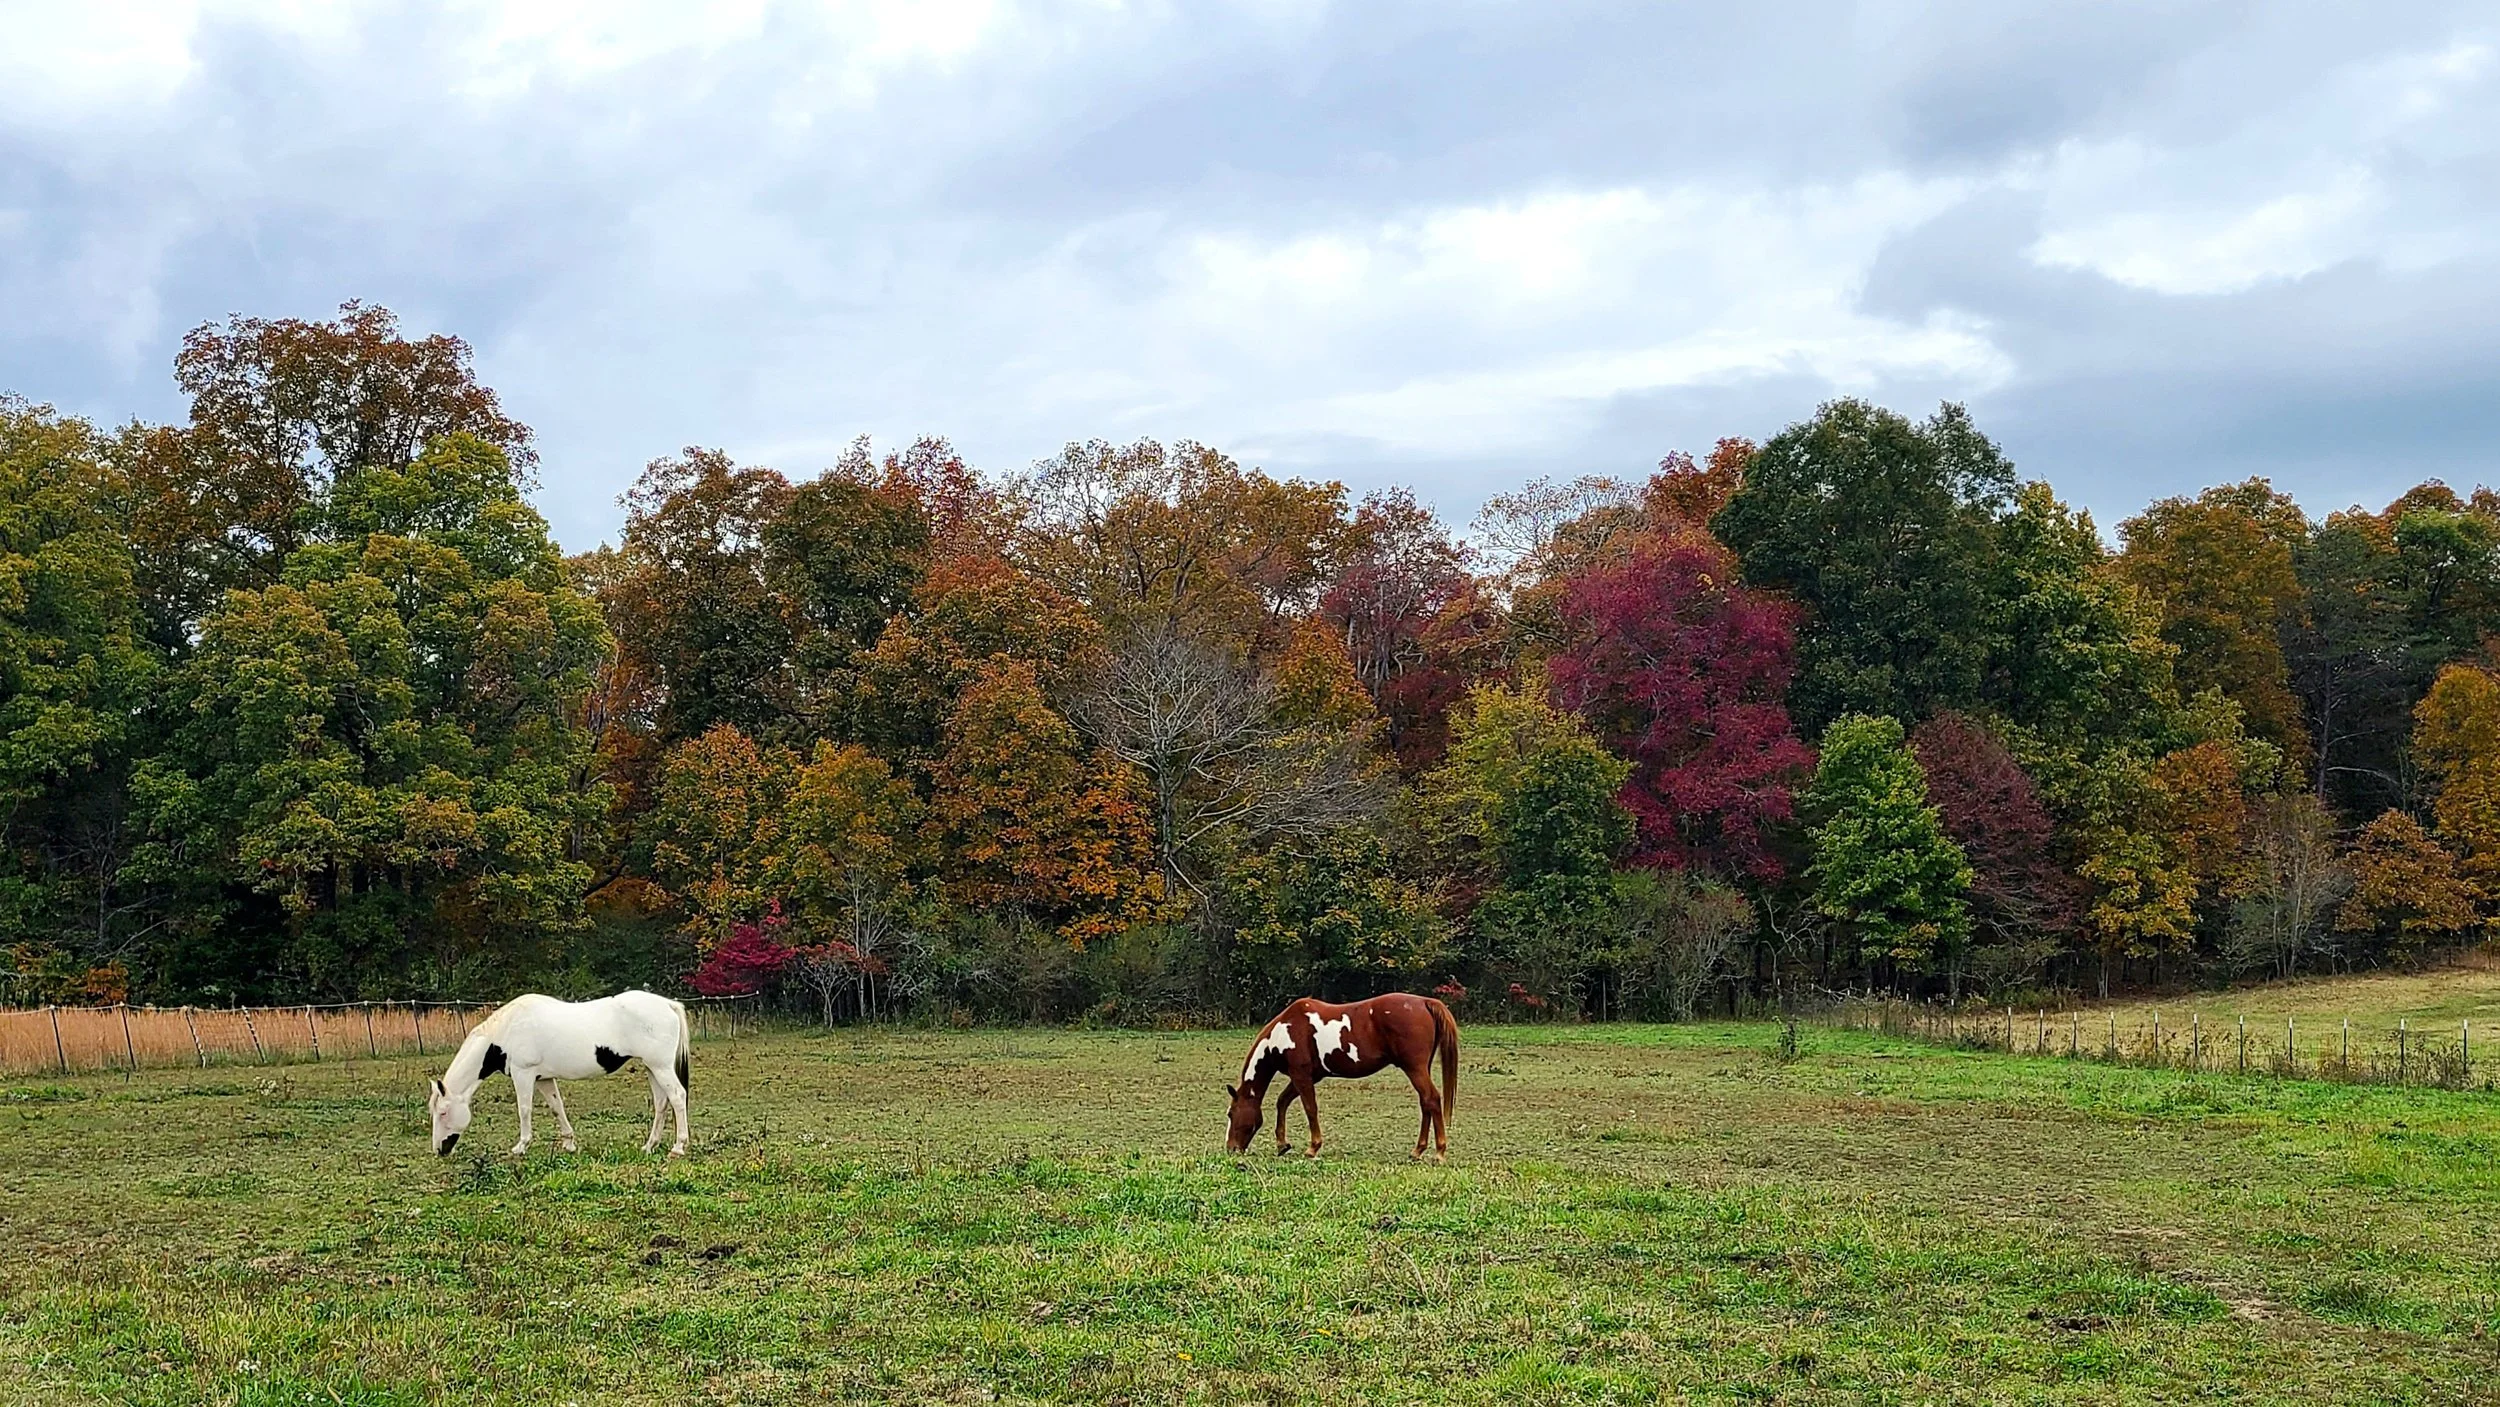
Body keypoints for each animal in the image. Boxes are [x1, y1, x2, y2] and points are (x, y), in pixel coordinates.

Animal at [425, 990, 692, 1157]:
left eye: (443, 1112)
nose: (439, 1150)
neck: (506, 1031)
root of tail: (668, 1004)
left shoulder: (524, 1075)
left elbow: (524, 1109)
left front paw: (521, 1146)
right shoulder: (543, 1079)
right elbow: (557, 1107)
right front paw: (569, 1143)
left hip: (660, 1067)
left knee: (678, 1097)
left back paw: (678, 1147)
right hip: (652, 1067)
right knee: (661, 1103)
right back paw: (649, 1146)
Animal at [1225, 993, 1458, 1161]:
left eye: (1230, 1113)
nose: (1231, 1149)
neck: (1284, 1031)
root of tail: (1425, 1002)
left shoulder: (1301, 1075)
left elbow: (1310, 1108)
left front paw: (1313, 1148)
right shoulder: (1308, 1076)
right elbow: (1282, 1102)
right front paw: (1282, 1145)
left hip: (1415, 1068)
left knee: (1431, 1099)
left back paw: (1439, 1153)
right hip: (1421, 1069)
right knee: (1425, 1103)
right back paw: (1418, 1151)